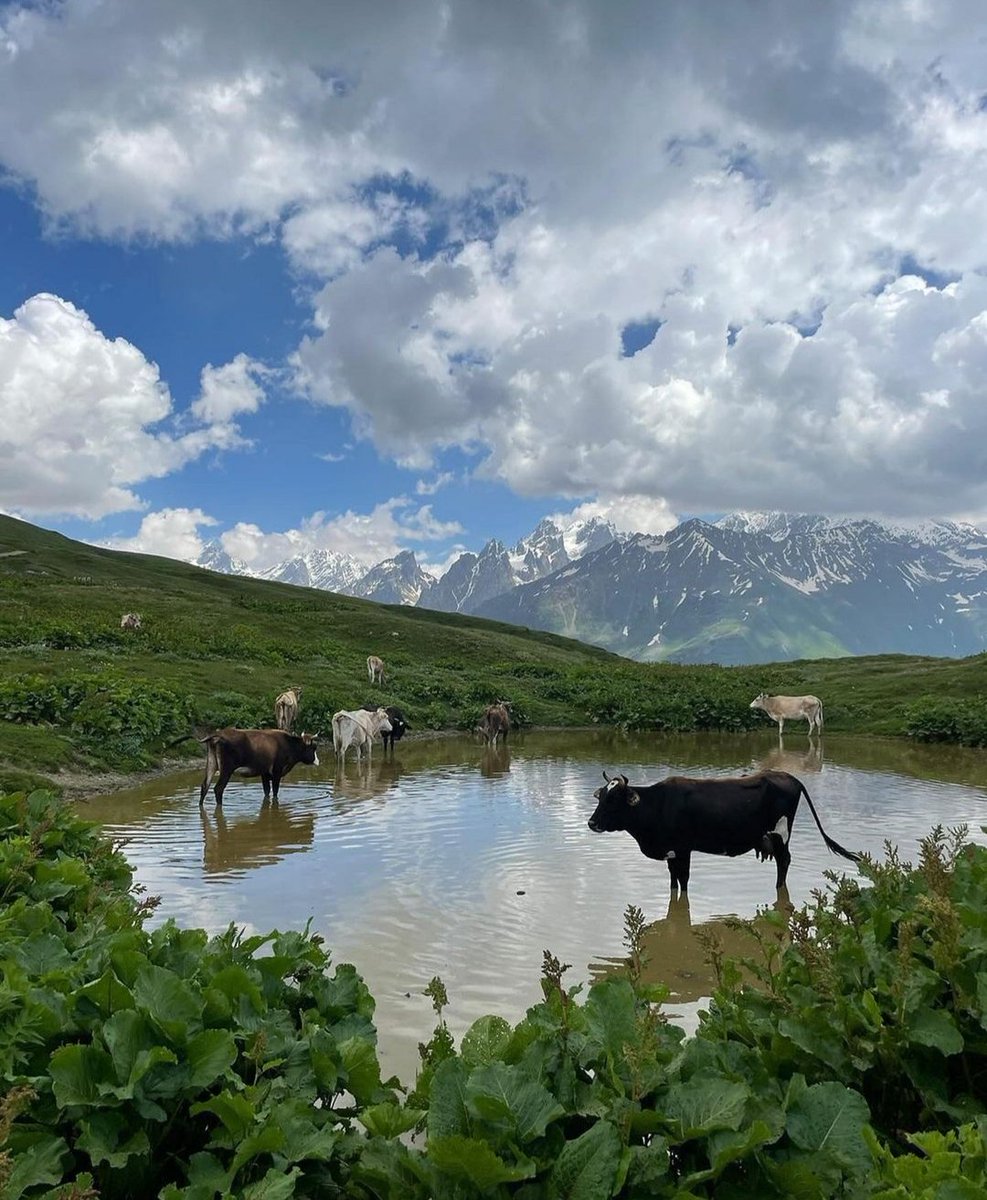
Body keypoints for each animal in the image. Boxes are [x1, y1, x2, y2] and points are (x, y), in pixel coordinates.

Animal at [590, 768, 859, 892]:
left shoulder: (683, 850)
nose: (591, 823)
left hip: (780, 835)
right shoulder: (672, 853)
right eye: (601, 797)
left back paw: (778, 889)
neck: (657, 804)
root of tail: (788, 776)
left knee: (784, 861)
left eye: (613, 800)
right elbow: (673, 881)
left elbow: (684, 881)